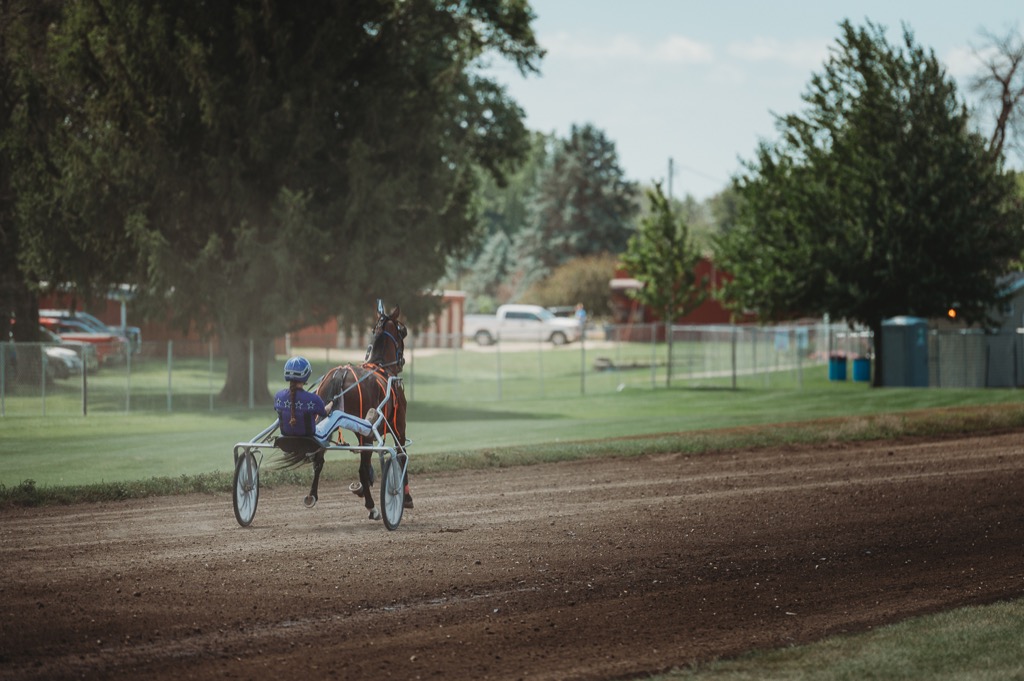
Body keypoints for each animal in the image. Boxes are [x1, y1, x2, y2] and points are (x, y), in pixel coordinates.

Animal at [279, 301, 410, 520]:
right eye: (403, 331)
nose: (401, 362)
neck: (381, 367)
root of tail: (340, 373)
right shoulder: (397, 422)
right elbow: (401, 452)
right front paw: (406, 497)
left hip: (329, 422)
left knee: (319, 459)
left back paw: (312, 496)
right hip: (366, 427)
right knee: (362, 467)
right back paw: (373, 507)